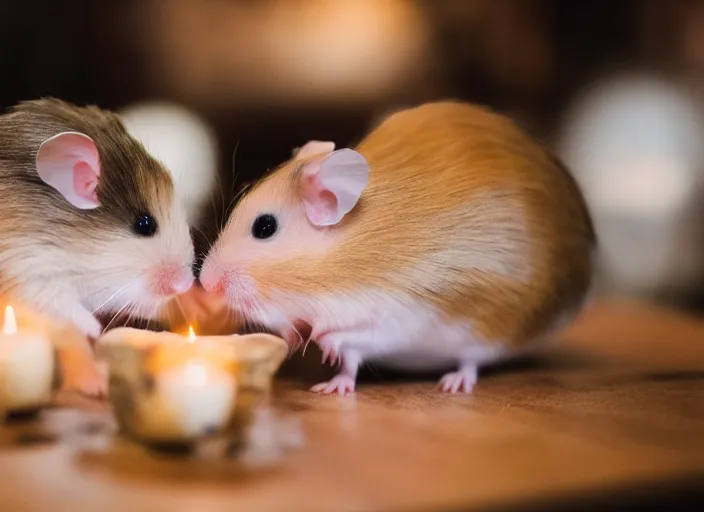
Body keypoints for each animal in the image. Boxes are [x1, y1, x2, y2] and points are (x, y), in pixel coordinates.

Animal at [201, 101, 596, 396]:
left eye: (264, 227)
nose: (205, 283)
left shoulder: (402, 308)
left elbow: (355, 333)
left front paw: (324, 340)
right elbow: (349, 361)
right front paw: (306, 349)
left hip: (487, 330)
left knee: (471, 361)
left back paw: (455, 382)